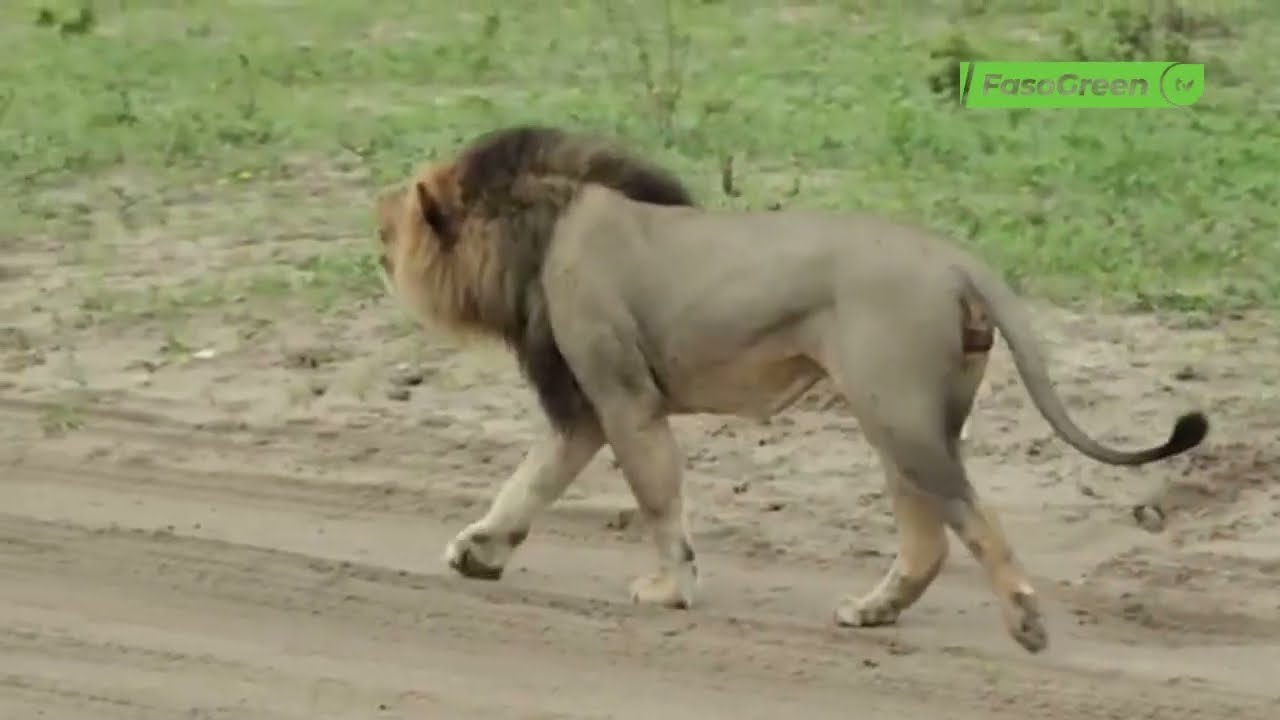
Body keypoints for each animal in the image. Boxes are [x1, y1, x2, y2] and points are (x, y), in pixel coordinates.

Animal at [373, 124, 1209, 655]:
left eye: (399, 224)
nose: (376, 229)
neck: (537, 235)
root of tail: (953, 258)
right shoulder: (582, 405)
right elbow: (529, 481)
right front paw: (478, 553)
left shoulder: (621, 395)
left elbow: (655, 496)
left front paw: (672, 590)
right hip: (902, 419)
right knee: (928, 537)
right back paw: (872, 612)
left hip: (897, 412)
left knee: (975, 516)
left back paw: (1026, 624)